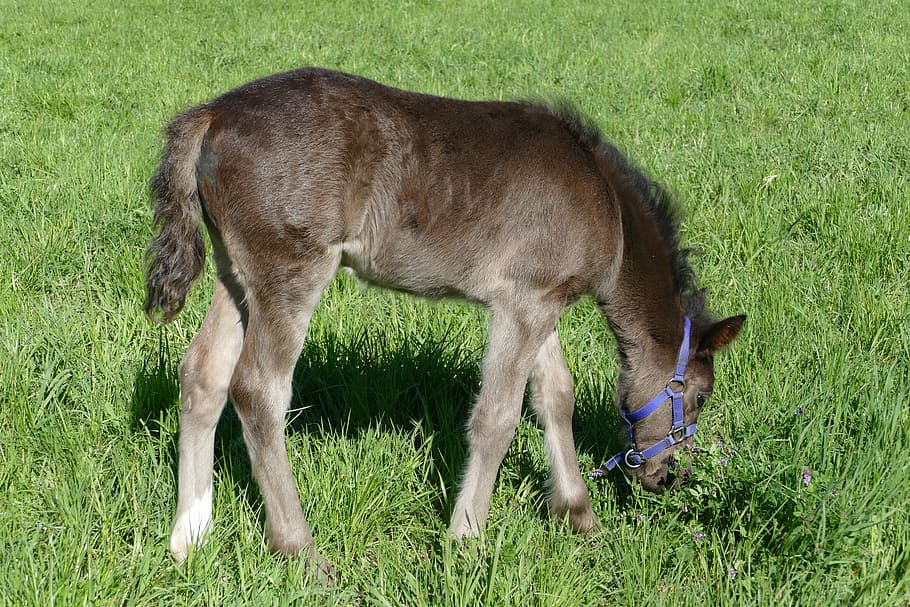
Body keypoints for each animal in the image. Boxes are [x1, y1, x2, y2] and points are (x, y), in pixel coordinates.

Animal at [143, 67, 745, 571]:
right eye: (699, 396)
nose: (669, 476)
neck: (606, 203)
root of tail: (215, 114)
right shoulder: (525, 303)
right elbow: (497, 418)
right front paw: (466, 539)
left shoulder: (537, 301)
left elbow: (555, 396)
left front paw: (578, 513)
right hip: (290, 271)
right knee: (258, 390)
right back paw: (301, 550)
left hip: (236, 272)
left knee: (203, 374)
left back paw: (189, 537)